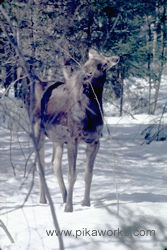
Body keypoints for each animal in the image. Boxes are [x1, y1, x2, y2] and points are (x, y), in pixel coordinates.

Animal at [33, 49, 118, 213]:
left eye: (104, 64)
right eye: (87, 62)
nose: (86, 74)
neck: (92, 111)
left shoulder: (94, 140)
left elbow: (88, 174)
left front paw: (86, 203)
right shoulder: (73, 139)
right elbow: (72, 175)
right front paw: (69, 208)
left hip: (58, 139)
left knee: (55, 163)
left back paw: (64, 196)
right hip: (37, 131)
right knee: (41, 166)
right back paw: (43, 200)